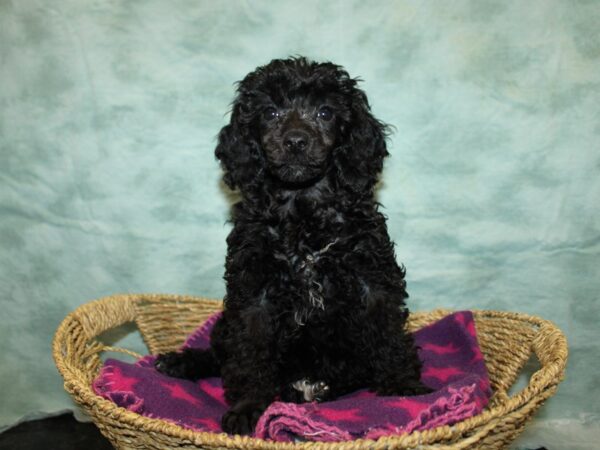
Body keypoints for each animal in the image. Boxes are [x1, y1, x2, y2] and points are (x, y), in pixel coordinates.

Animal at [154, 57, 426, 436]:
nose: (296, 141)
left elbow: (387, 332)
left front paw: (403, 387)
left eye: (326, 112)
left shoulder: (372, 276)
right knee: (221, 353)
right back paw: (181, 362)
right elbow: (251, 350)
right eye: (270, 112)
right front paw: (249, 405)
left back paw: (316, 388)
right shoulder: (253, 291)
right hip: (226, 321)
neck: (304, 212)